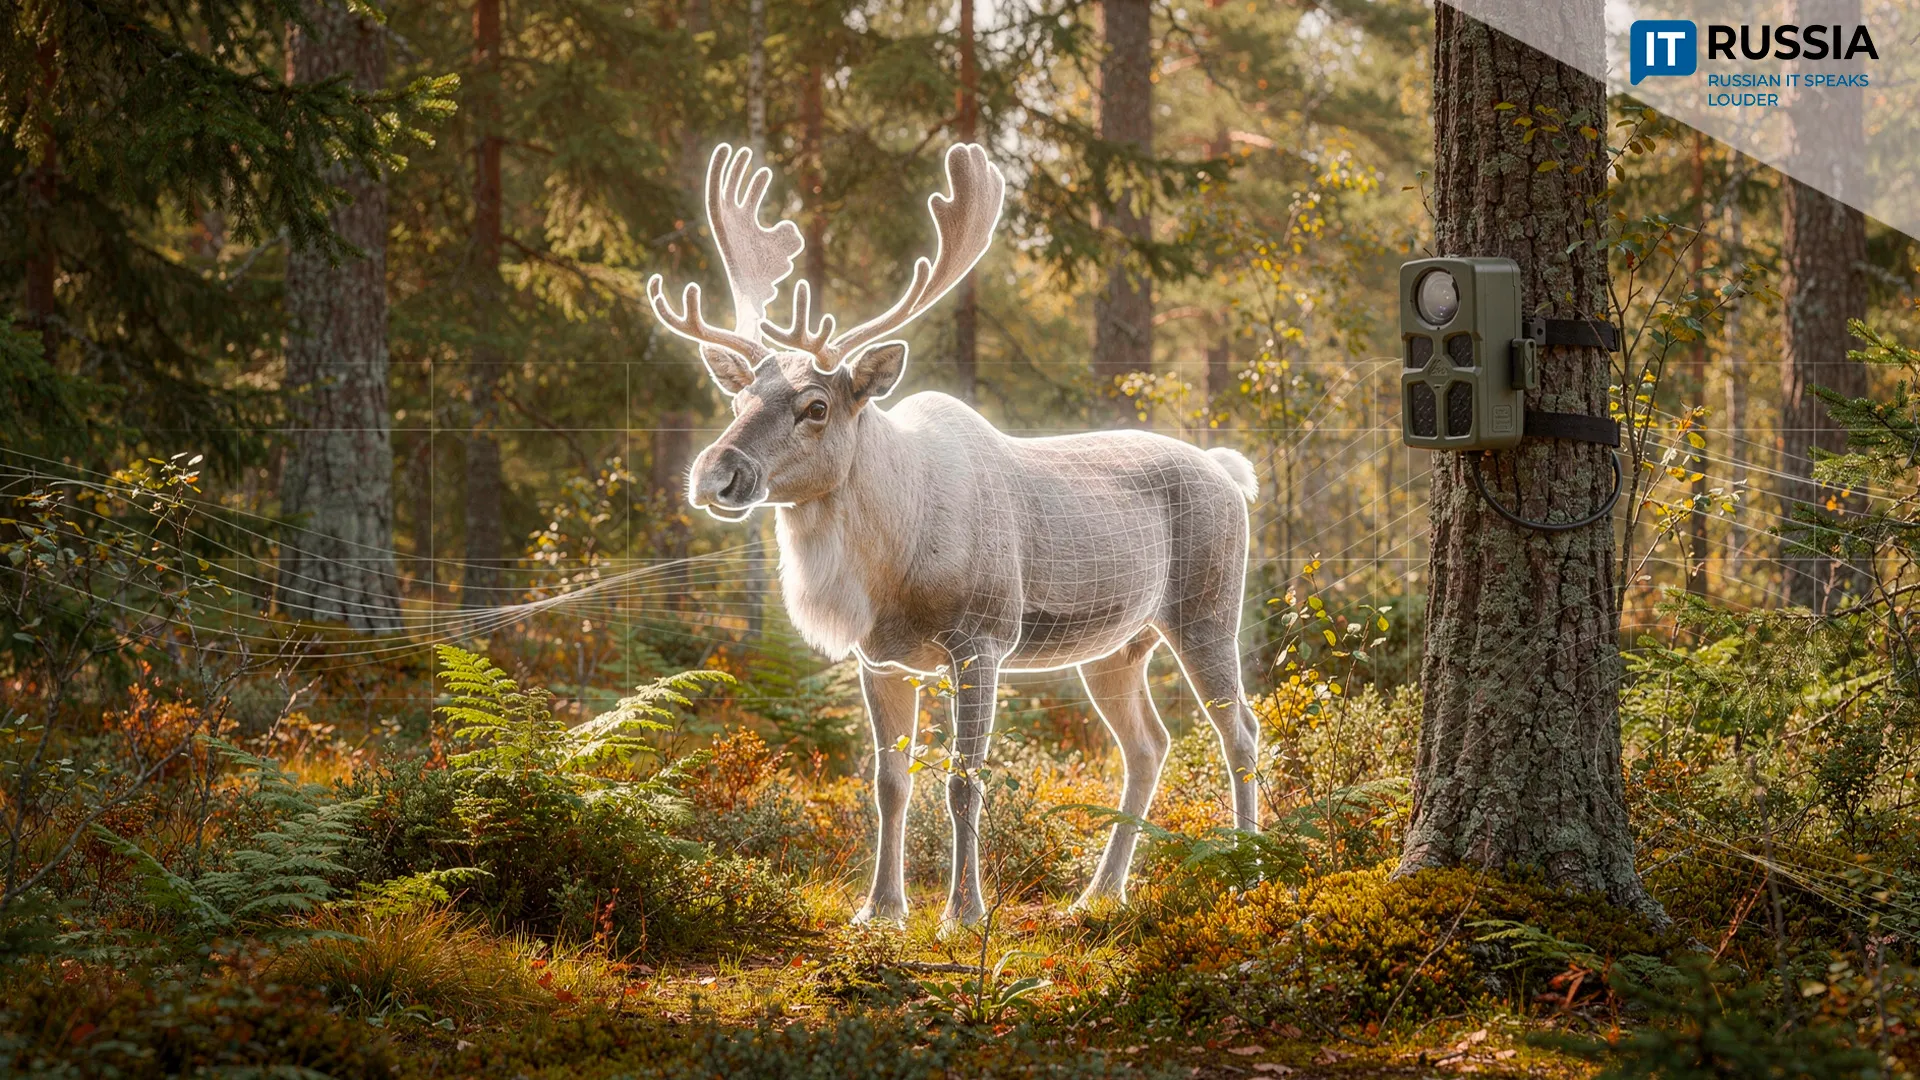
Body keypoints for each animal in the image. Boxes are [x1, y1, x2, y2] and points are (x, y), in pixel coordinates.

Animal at [645, 142, 1261, 930]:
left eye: (816, 406)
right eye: (738, 398)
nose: (714, 473)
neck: (889, 571)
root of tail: (1230, 471)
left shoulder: (982, 639)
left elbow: (964, 780)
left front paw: (963, 912)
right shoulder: (880, 659)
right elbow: (889, 782)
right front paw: (880, 908)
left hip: (1206, 609)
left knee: (1238, 732)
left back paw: (1247, 877)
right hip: (1118, 646)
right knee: (1150, 745)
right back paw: (1098, 894)